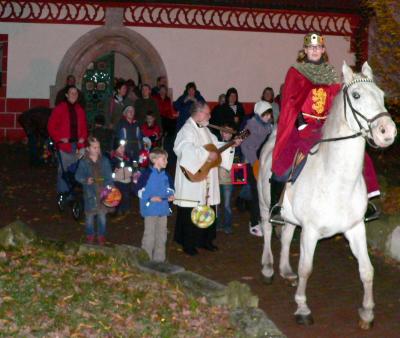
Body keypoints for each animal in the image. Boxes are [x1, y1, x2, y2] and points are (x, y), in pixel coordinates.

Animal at [258, 62, 398, 328]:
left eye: (382, 95)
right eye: (356, 95)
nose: (388, 132)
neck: (336, 181)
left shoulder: (355, 228)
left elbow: (367, 270)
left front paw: (367, 312)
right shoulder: (311, 232)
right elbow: (306, 268)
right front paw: (302, 308)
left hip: (291, 217)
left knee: (286, 235)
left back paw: (285, 270)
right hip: (264, 203)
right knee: (269, 230)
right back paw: (268, 268)